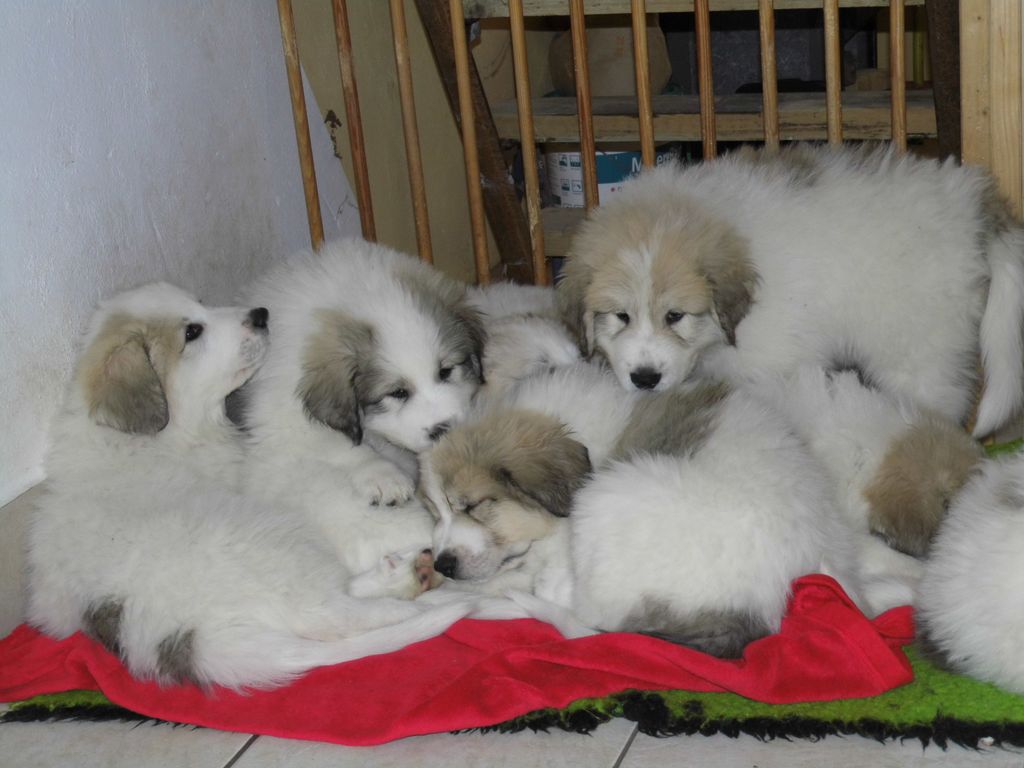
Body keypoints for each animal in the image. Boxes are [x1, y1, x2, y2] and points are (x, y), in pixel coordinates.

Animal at [26, 283, 469, 690]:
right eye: (192, 332)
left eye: (199, 302)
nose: (260, 314)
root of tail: (196, 637)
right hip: (274, 537)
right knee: (332, 613)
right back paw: (430, 595)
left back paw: (405, 572)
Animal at [240, 238, 486, 576]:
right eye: (397, 392)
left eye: (446, 371)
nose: (443, 429)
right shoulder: (286, 424)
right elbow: (341, 444)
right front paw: (386, 479)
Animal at [420, 362, 868, 657]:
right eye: (435, 512)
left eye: (473, 506)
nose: (442, 564)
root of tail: (757, 608)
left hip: (606, 497)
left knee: (580, 605)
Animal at [557, 143, 1024, 438]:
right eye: (621, 316)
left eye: (676, 316)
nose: (645, 378)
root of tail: (972, 202)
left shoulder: (772, 357)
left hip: (917, 351)